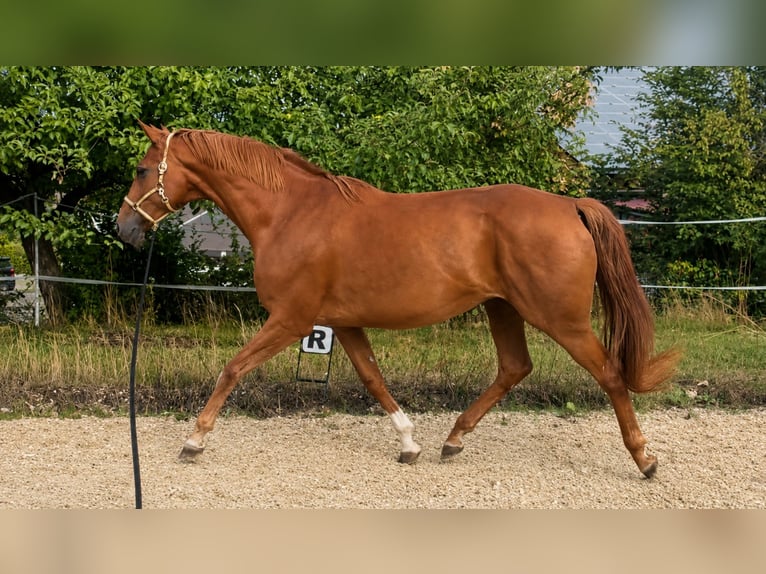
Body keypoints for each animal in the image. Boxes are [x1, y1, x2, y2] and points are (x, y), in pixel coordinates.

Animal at [117, 121, 678, 478]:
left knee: (609, 375)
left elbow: (233, 368)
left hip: (561, 319)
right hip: (503, 307)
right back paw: (452, 439)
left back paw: (645, 459)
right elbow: (373, 379)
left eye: (143, 170)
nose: (124, 229)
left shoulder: (291, 319)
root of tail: (569, 205)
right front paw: (409, 444)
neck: (290, 213)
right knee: (515, 367)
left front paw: (194, 441)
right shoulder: (342, 322)